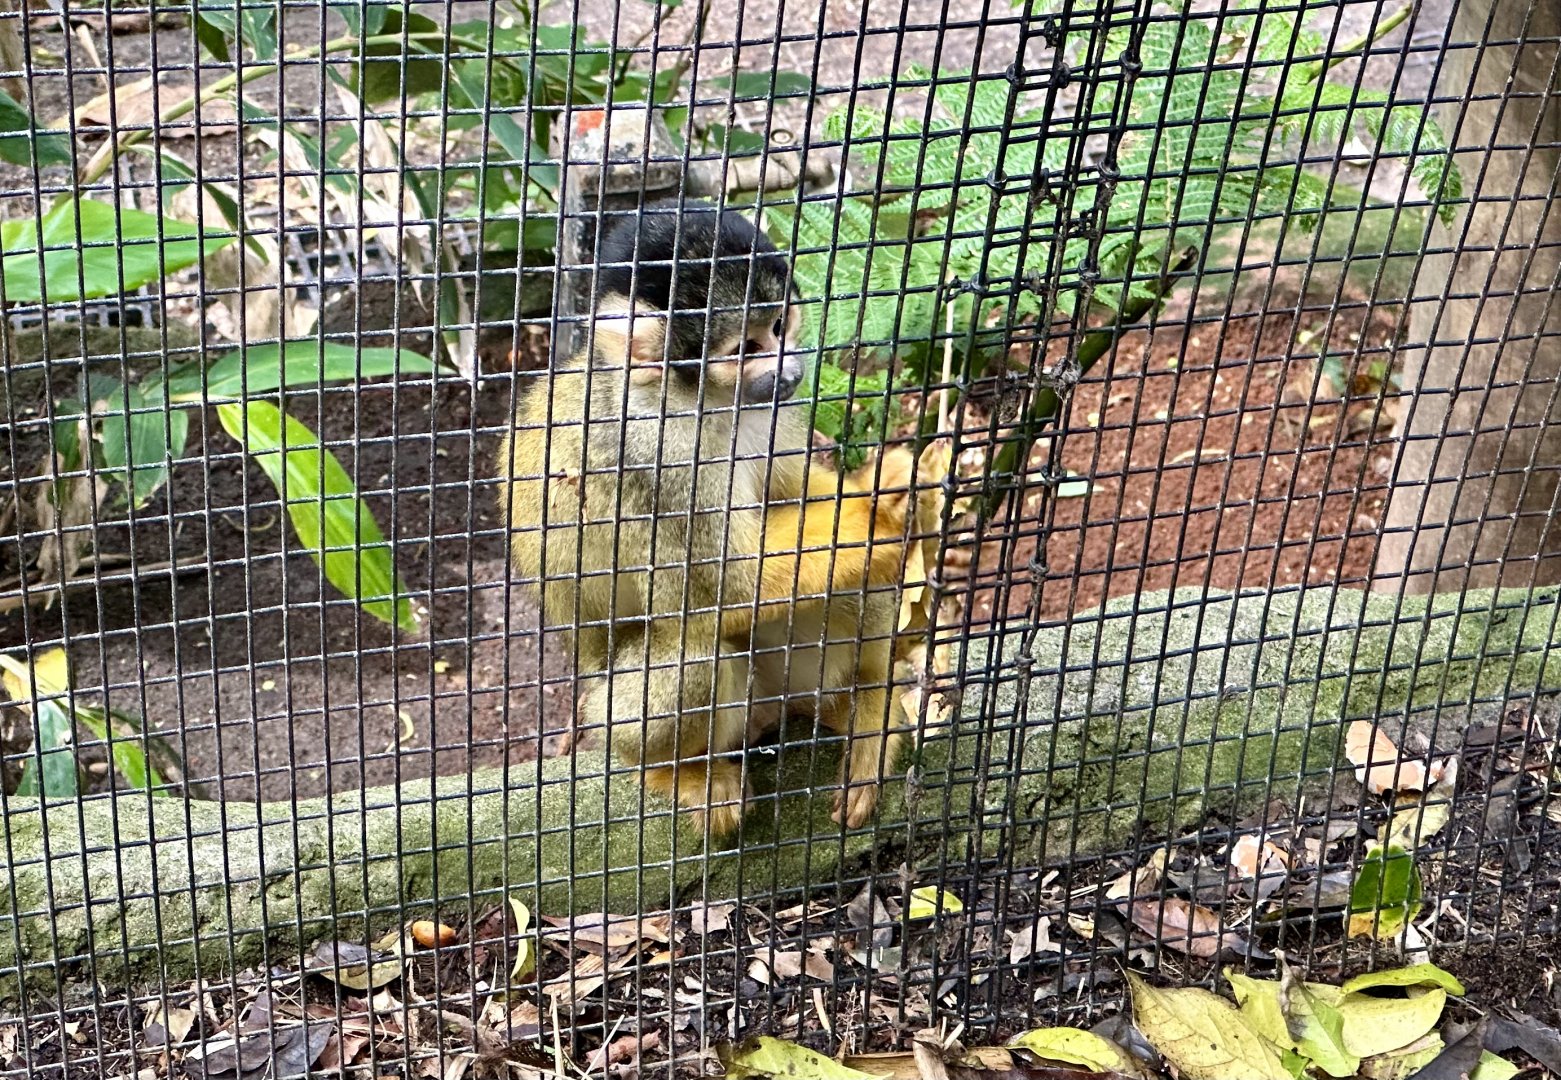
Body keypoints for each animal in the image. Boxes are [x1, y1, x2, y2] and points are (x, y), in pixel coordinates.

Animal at [499, 196, 917, 836]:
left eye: (779, 327)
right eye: (744, 350)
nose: (790, 371)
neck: (700, 400)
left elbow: (790, 491)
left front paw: (890, 488)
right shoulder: (659, 453)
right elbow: (726, 585)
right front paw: (877, 513)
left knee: (853, 578)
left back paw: (867, 704)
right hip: (612, 715)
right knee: (698, 648)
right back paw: (675, 774)